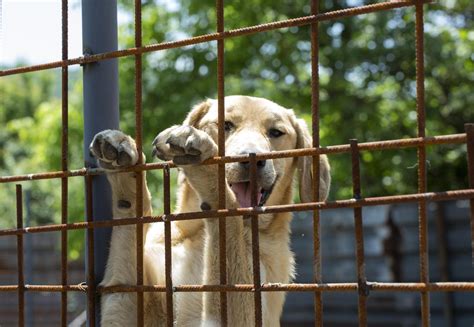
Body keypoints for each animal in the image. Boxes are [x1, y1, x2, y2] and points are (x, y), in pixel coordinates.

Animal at [90, 94, 330, 326]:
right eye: (225, 124)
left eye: (276, 132)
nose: (252, 160)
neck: (197, 232)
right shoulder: (123, 302)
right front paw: (123, 154)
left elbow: (227, 210)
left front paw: (204, 159)